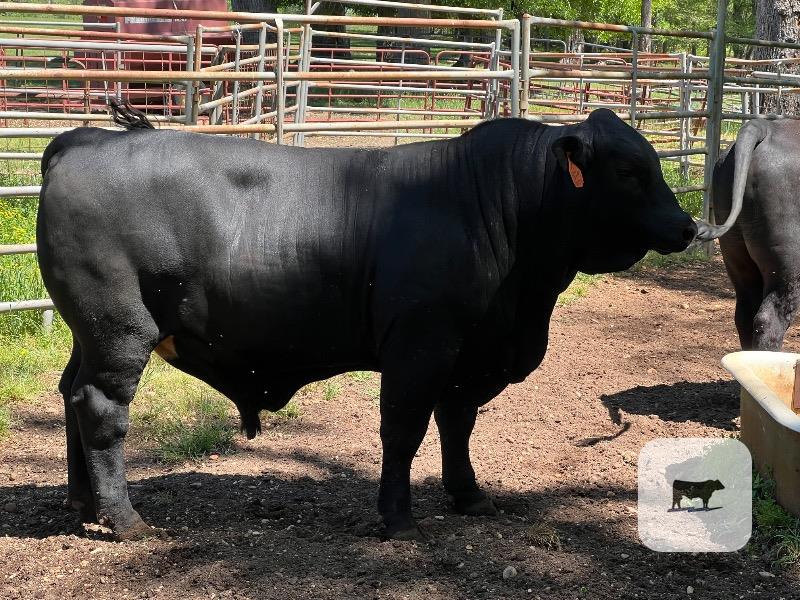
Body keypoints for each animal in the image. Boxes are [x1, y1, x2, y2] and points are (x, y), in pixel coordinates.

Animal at [37, 103, 697, 541]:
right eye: (630, 172)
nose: (688, 225)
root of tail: (84, 140)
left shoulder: (468, 354)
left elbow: (458, 426)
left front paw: (468, 495)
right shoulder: (421, 343)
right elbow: (403, 430)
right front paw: (398, 517)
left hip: (88, 334)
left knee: (70, 394)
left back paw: (82, 505)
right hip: (119, 328)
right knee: (101, 409)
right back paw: (124, 518)